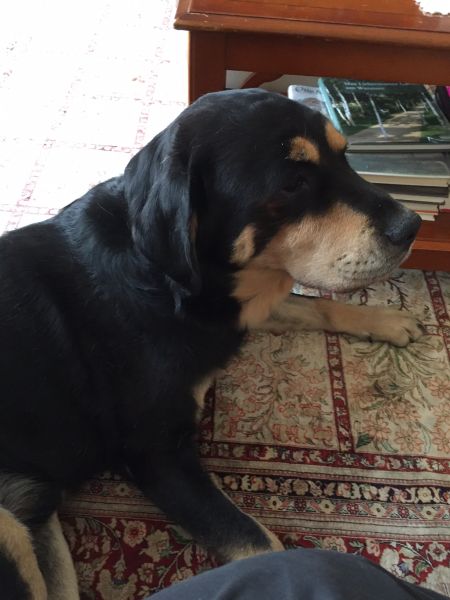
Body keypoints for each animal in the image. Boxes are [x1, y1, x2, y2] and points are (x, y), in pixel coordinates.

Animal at [0, 89, 423, 598]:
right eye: (293, 183)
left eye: (345, 156)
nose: (413, 226)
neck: (162, 277)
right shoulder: (157, 455)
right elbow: (259, 544)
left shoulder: (240, 307)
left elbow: (313, 304)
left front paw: (384, 319)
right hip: (9, 529)